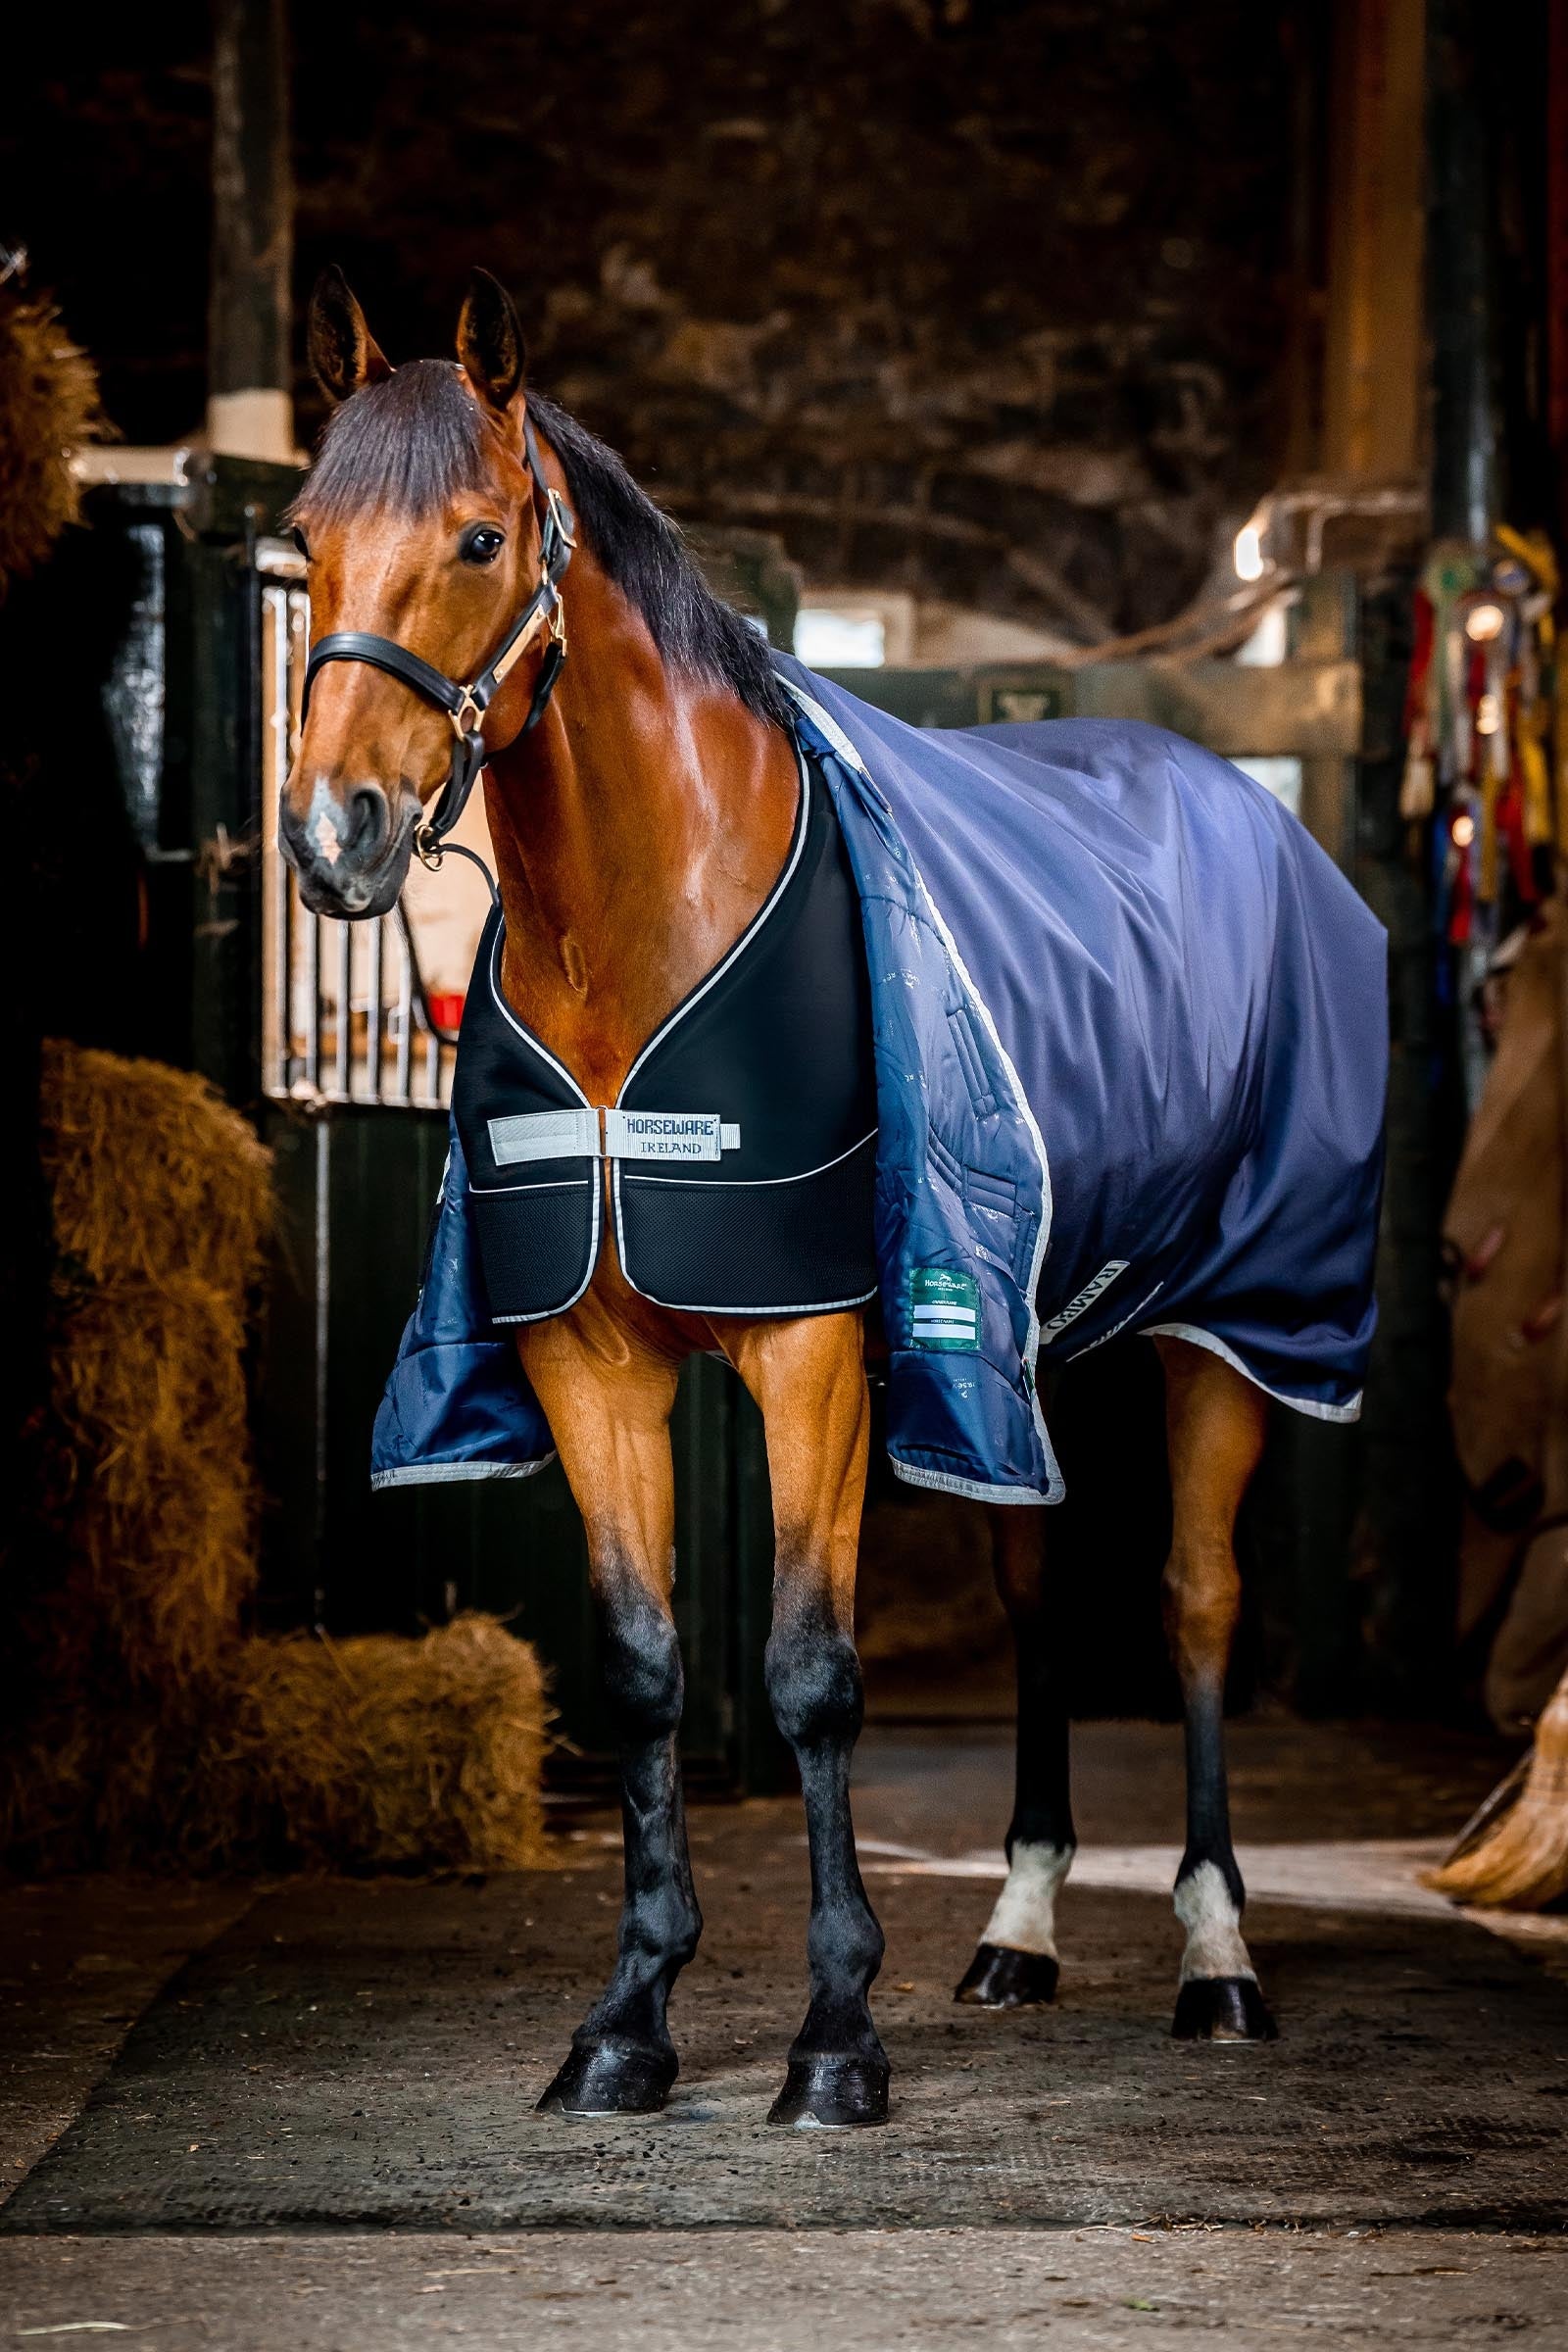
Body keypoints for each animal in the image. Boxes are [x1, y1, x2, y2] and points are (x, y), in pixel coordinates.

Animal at [280, 266, 1374, 2127]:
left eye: (482, 537)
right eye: (304, 533)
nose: (330, 835)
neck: (638, 938)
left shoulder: (812, 1355)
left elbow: (811, 1673)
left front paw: (837, 2036)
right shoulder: (588, 1364)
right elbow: (643, 1673)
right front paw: (629, 2018)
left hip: (1228, 1333)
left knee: (1195, 1606)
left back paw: (1219, 1958)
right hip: (1023, 1360)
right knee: (1045, 1603)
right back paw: (1017, 1933)